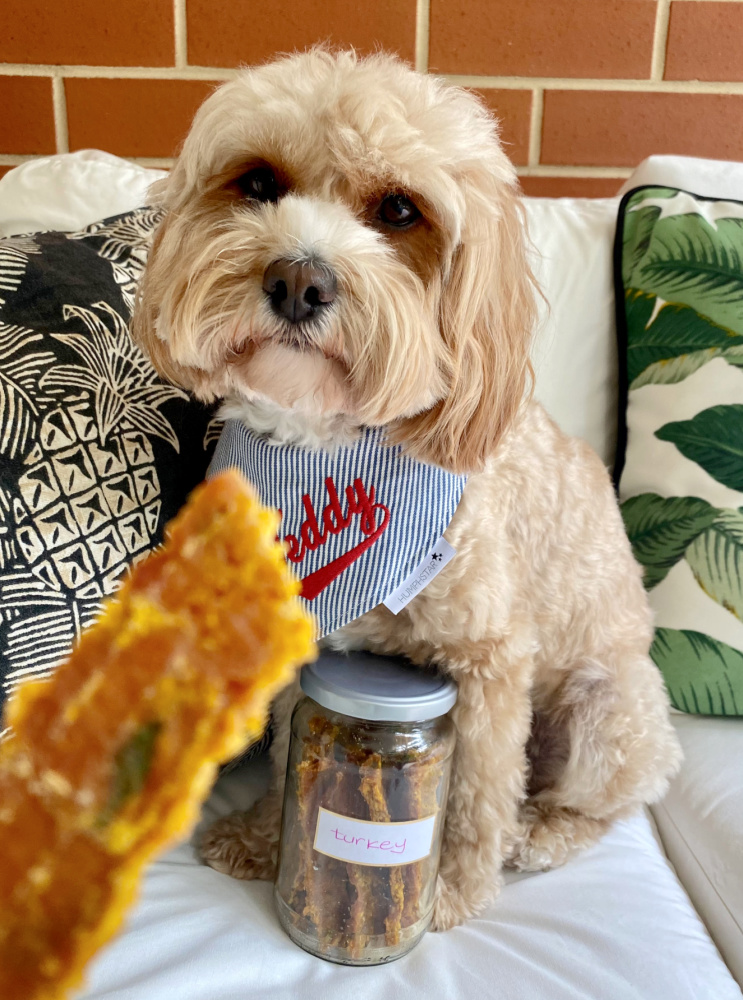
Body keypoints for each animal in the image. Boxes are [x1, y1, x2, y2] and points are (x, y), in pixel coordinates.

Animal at [131, 50, 684, 932]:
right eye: (257, 183)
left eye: (398, 210)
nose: (297, 280)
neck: (329, 447)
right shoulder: (311, 630)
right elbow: (291, 747)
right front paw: (264, 837)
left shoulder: (493, 665)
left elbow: (474, 792)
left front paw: (449, 890)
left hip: (607, 710)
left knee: (596, 801)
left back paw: (542, 831)